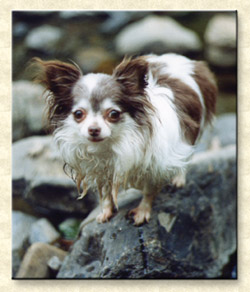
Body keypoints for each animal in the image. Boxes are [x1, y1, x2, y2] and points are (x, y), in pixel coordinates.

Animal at [32, 53, 217, 226]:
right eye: (78, 114)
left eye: (113, 114)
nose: (94, 129)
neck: (110, 146)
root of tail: (184, 60)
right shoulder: (101, 170)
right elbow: (106, 194)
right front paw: (106, 212)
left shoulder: (155, 166)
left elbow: (149, 191)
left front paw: (142, 211)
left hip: (189, 133)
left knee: (187, 156)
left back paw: (179, 178)